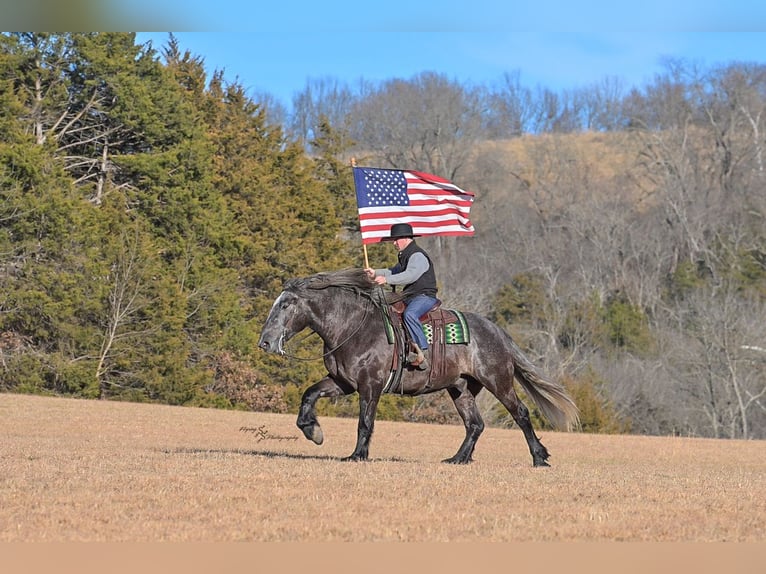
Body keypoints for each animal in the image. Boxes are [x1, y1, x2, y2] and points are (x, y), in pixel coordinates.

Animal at [257, 268, 579, 466]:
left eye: (285, 305)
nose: (265, 342)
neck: (352, 327)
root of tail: (497, 332)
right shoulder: (343, 383)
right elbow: (309, 395)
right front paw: (313, 431)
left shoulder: (370, 386)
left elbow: (365, 422)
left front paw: (358, 455)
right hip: (460, 388)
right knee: (474, 423)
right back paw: (458, 459)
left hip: (498, 381)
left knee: (521, 414)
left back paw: (539, 457)